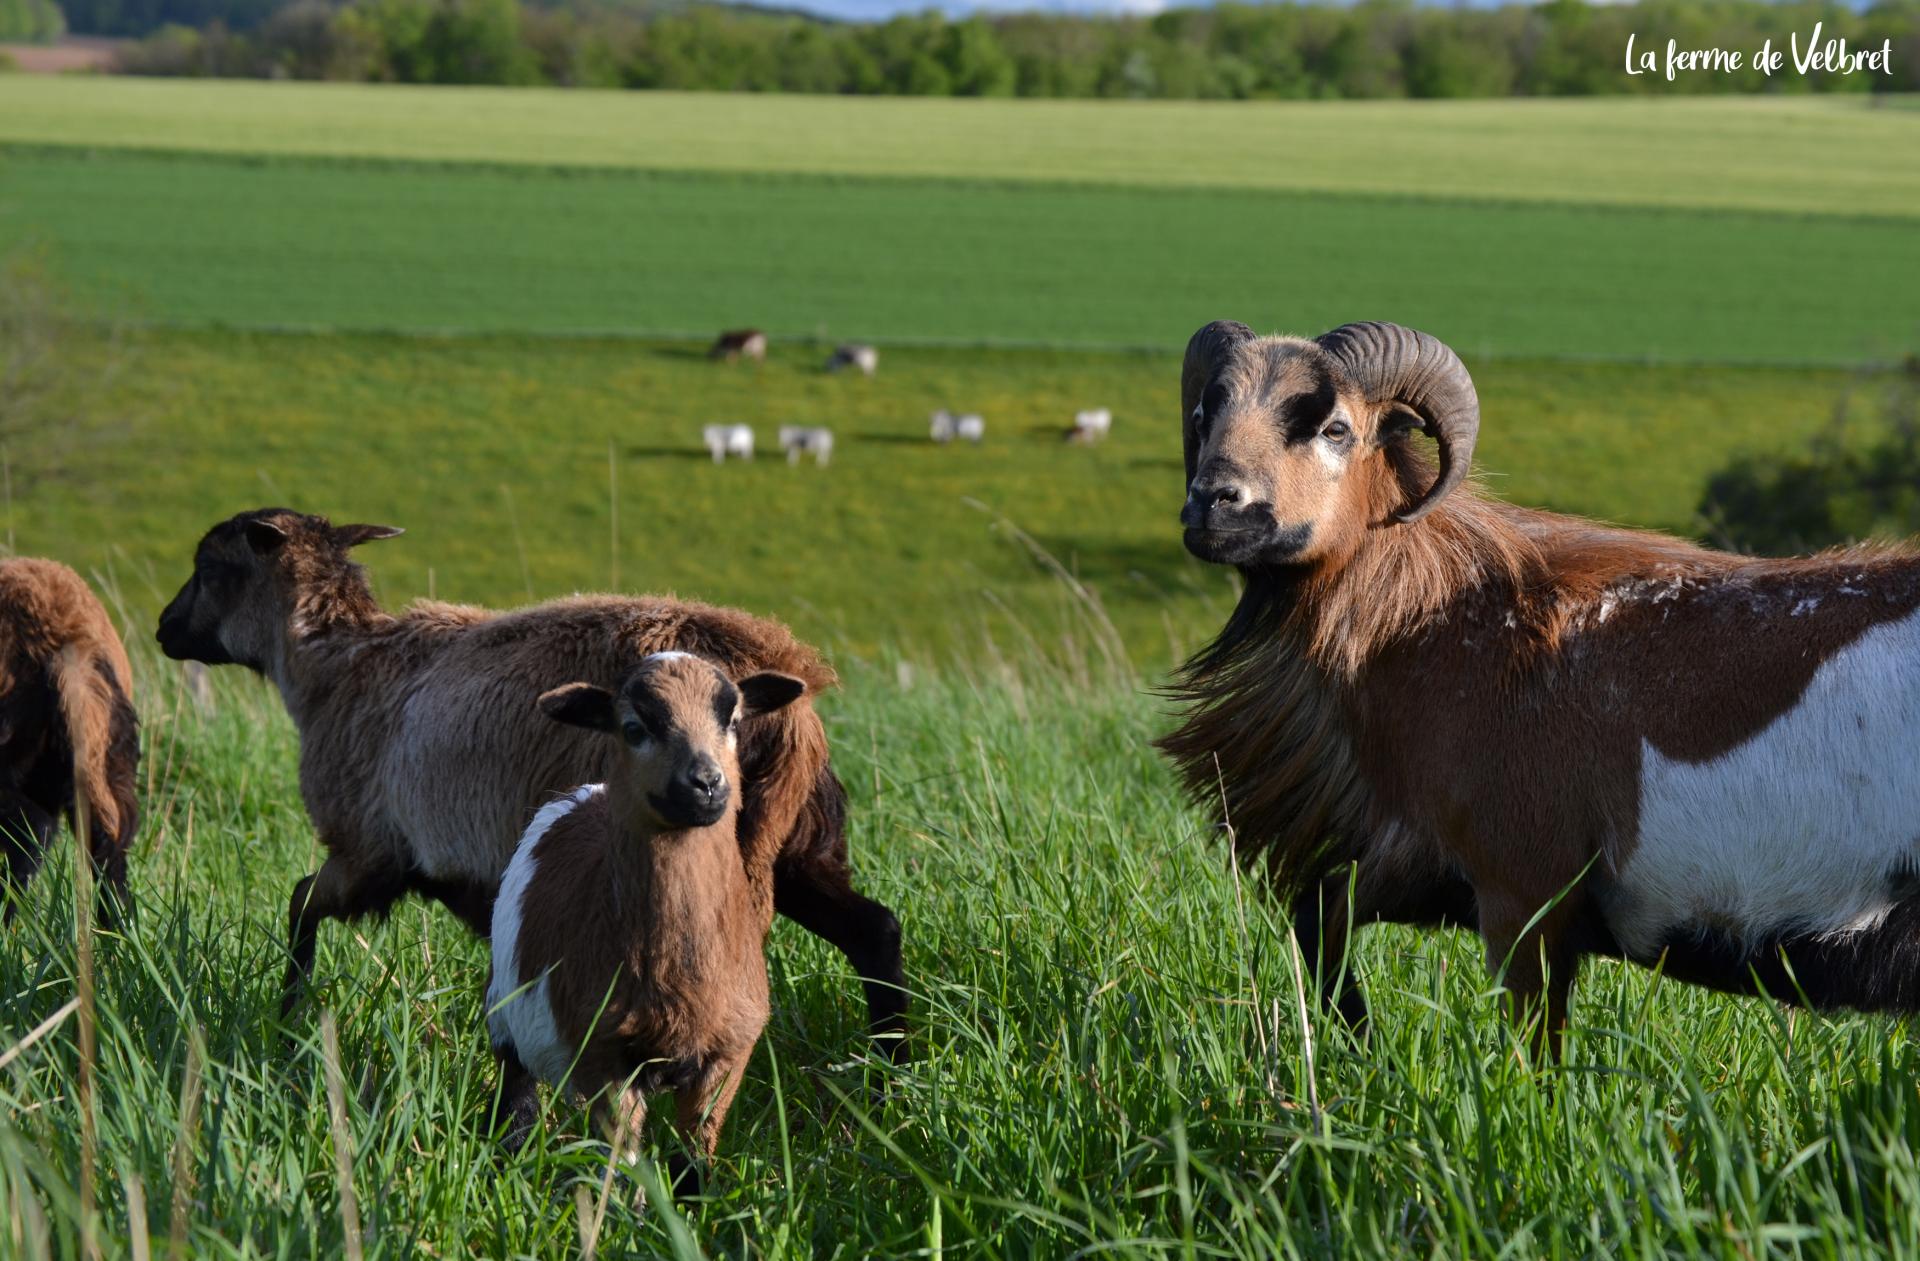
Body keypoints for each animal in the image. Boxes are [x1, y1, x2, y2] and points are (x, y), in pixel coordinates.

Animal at [153, 506, 902, 1059]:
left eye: (208, 564)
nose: (162, 628)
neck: (332, 666)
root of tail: (792, 680)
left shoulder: (370, 851)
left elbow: (300, 902)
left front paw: (287, 1024)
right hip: (799, 843)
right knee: (876, 929)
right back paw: (888, 1074)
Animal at [1152, 320, 1920, 1044]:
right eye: (1206, 411)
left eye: (1334, 427)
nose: (1215, 503)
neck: (1436, 612)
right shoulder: (1413, 860)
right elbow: (1319, 926)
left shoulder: (1524, 889)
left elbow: (1529, 1053)